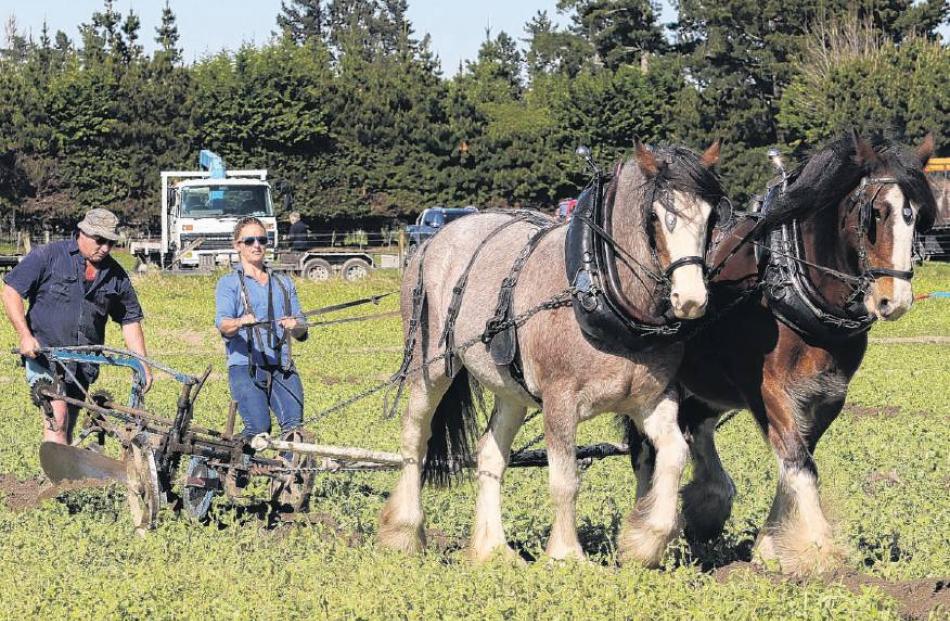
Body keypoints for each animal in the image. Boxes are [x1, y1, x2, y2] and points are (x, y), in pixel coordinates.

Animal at [384, 139, 724, 560]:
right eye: (657, 217)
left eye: (710, 216)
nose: (691, 299)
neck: (599, 290)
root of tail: (433, 239)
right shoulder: (559, 400)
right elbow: (565, 479)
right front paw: (565, 554)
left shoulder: (651, 399)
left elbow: (675, 454)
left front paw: (644, 541)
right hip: (429, 367)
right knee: (415, 436)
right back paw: (403, 531)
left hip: (510, 389)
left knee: (490, 453)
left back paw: (492, 549)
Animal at [628, 133, 940, 572]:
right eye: (875, 214)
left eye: (917, 217)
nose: (893, 300)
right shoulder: (766, 389)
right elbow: (797, 460)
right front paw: (821, 549)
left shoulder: (829, 394)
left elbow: (796, 458)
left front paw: (770, 544)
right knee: (645, 450)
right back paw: (648, 523)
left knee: (697, 429)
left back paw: (707, 503)